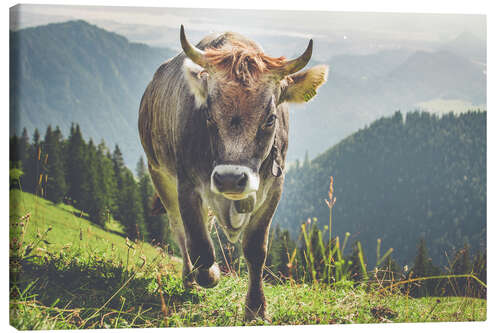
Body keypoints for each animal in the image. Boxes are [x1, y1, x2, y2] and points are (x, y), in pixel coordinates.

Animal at [139, 24, 330, 320]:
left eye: (270, 118)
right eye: (208, 115)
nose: (230, 179)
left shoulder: (274, 189)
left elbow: (255, 249)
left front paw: (256, 308)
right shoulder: (187, 185)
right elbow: (199, 247)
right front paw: (209, 275)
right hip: (158, 172)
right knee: (179, 228)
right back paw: (189, 278)